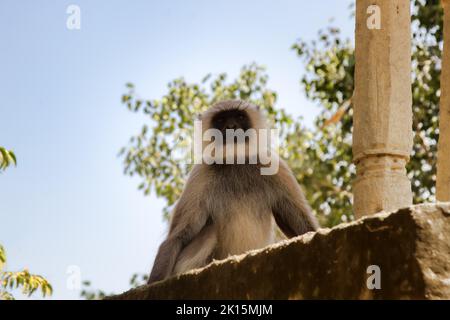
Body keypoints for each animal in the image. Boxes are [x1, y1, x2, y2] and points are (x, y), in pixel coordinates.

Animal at [148, 99, 316, 284]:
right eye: (221, 119)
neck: (235, 160)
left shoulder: (275, 167)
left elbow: (302, 223)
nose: (231, 126)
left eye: (240, 116)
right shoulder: (200, 175)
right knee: (210, 229)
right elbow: (176, 238)